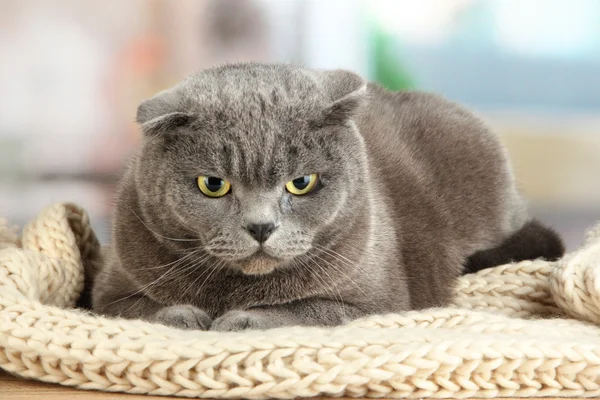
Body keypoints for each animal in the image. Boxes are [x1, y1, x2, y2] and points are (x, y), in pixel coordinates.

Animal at [89, 62, 564, 332]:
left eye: (302, 183)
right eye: (213, 185)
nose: (261, 227)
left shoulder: (381, 303)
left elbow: (316, 309)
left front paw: (242, 319)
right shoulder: (109, 289)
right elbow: (134, 308)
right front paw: (186, 315)